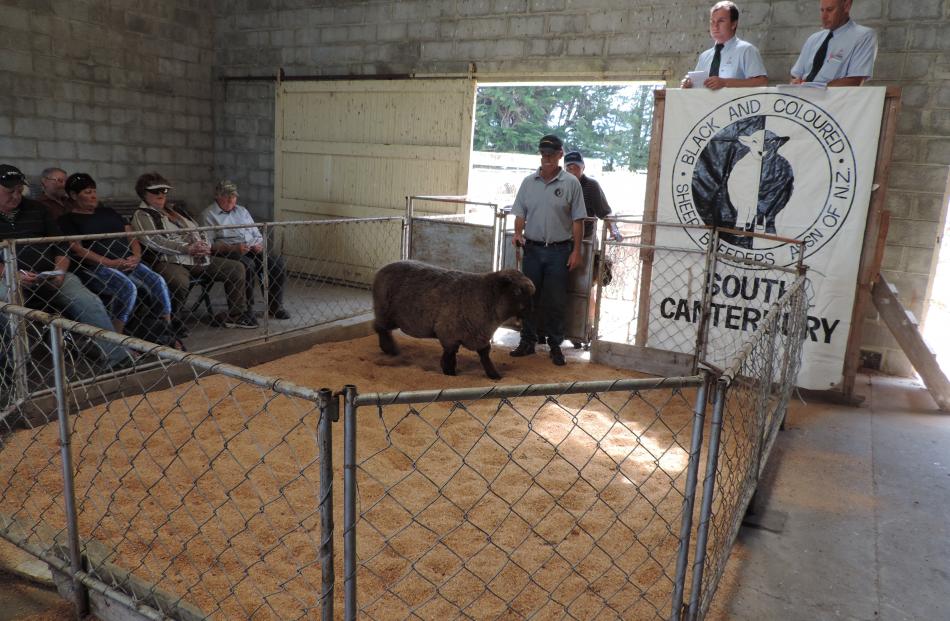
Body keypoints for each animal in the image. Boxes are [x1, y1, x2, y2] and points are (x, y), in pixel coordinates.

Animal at [372, 260, 536, 380]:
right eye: (517, 291)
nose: (532, 311)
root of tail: (382, 268)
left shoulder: (480, 336)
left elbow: (485, 355)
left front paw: (494, 374)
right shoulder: (448, 333)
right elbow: (449, 356)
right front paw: (450, 372)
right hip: (385, 311)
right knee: (379, 328)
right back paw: (390, 349)